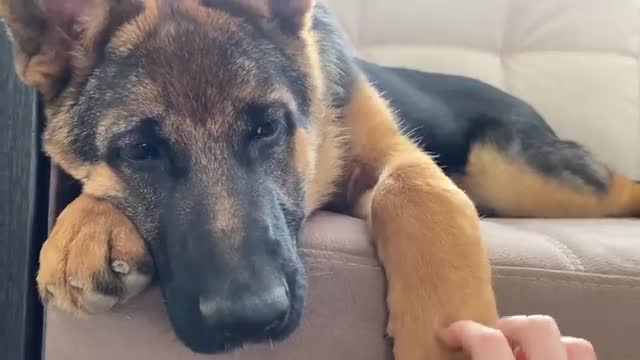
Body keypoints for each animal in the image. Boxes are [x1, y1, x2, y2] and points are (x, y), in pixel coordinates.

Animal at [0, 0, 636, 358]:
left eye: (268, 127)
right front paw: (87, 226)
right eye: (141, 150)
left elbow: (418, 194)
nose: (248, 322)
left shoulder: (399, 157)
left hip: (513, 173)